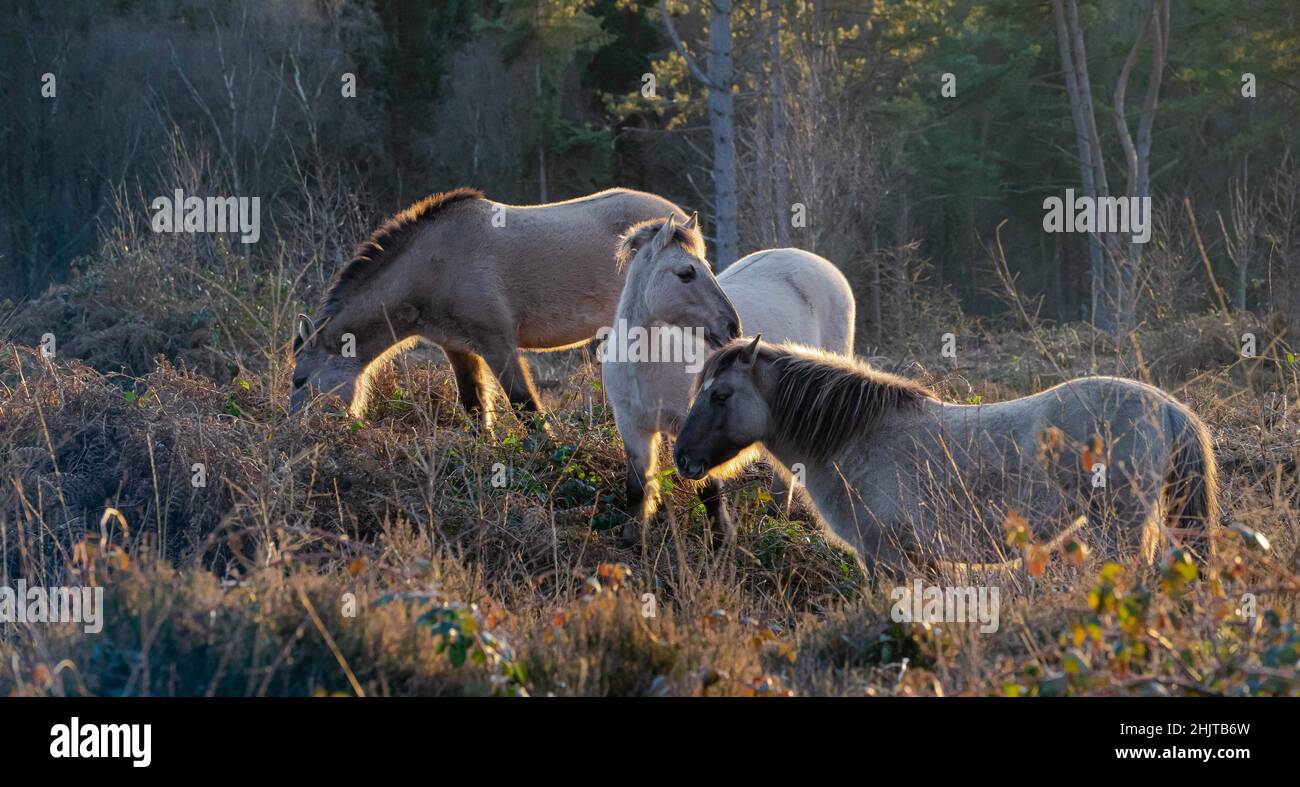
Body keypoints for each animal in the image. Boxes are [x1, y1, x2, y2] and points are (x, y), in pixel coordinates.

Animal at [289, 187, 686, 426]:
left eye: (299, 379)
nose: (295, 430)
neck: (434, 264)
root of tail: (679, 219)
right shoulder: (459, 349)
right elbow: (476, 409)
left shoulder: (498, 344)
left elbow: (526, 408)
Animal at [603, 214, 857, 546]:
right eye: (686, 273)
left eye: (707, 268)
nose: (733, 327)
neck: (647, 364)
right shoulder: (633, 428)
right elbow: (636, 489)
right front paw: (633, 541)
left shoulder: (697, 427)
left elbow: (709, 491)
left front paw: (722, 541)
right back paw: (775, 515)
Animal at [670, 335, 1216, 574]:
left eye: (721, 396)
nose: (683, 458)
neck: (857, 439)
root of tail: (1166, 407)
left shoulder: (889, 559)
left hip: (1121, 526)